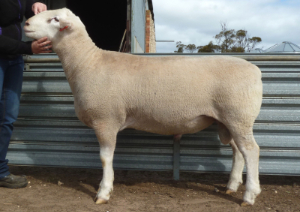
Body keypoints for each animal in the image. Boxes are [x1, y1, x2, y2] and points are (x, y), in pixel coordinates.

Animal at [23, 8, 262, 205]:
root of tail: (256, 71)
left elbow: (105, 158)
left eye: (54, 19)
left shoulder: (106, 119)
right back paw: (231, 186)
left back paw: (249, 195)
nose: (25, 23)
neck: (87, 62)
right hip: (229, 120)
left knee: (251, 151)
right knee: (238, 151)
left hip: (239, 116)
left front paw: (104, 192)